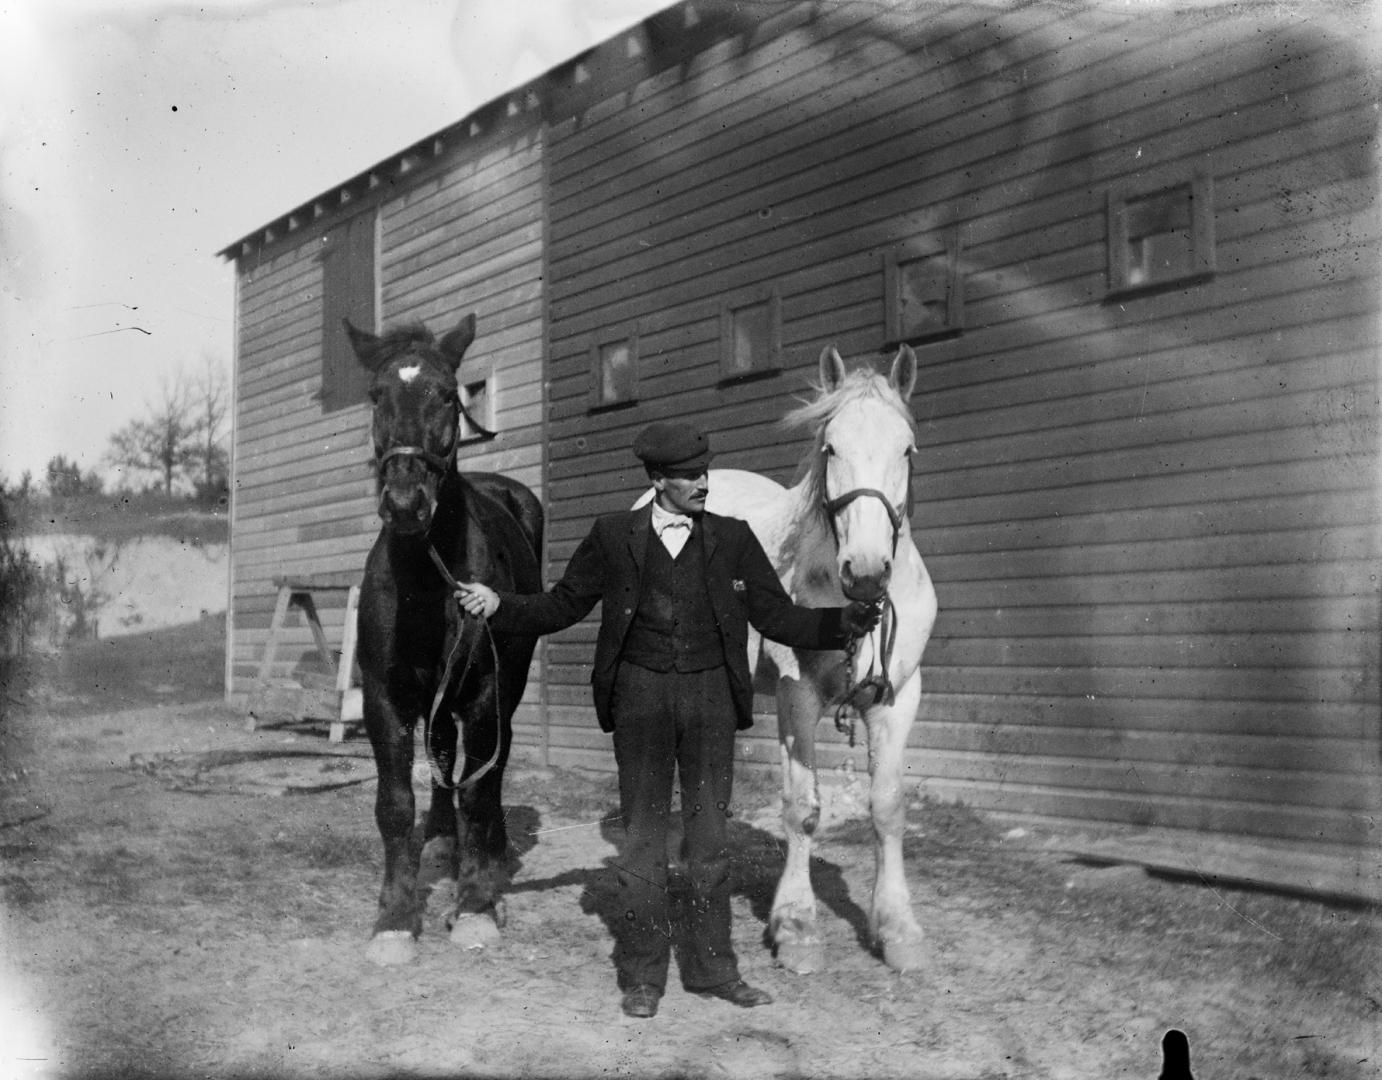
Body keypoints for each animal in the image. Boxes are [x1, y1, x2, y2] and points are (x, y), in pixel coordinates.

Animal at [342, 316, 541, 962]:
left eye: (448, 396)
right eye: (375, 395)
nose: (406, 503)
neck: (427, 581)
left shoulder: (481, 694)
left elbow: (477, 794)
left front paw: (475, 906)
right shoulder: (386, 700)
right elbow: (394, 803)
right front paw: (395, 918)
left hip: (506, 687)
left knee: (490, 768)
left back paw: (491, 857)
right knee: (443, 760)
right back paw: (440, 843)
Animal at [666, 342, 939, 967]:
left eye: (906, 449)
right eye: (830, 446)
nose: (866, 572)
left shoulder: (899, 699)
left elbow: (888, 808)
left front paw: (898, 928)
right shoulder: (800, 697)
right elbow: (802, 808)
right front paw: (794, 925)